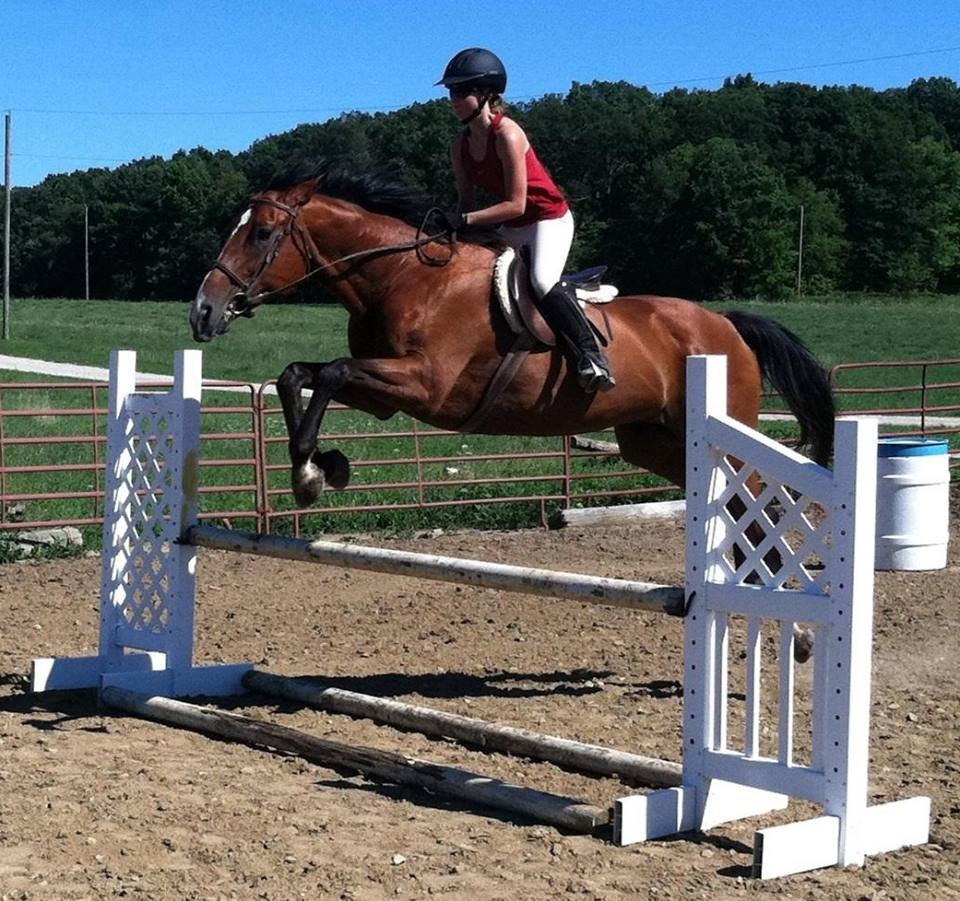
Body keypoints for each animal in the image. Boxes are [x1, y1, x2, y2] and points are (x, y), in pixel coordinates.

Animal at [191, 162, 836, 516]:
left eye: (262, 234)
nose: (203, 311)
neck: (402, 275)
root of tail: (725, 324)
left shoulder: (425, 386)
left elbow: (331, 371)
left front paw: (311, 474)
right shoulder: (385, 393)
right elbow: (299, 375)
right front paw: (319, 467)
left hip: (726, 438)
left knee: (759, 504)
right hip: (654, 442)